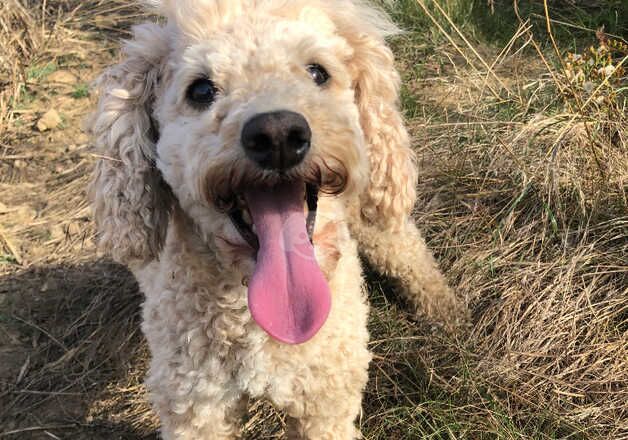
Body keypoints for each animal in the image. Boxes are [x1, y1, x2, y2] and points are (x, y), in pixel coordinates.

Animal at [88, 1, 462, 438]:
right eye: (201, 90)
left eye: (317, 72)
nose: (278, 134)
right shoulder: (196, 410)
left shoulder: (327, 402)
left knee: (404, 247)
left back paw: (446, 311)